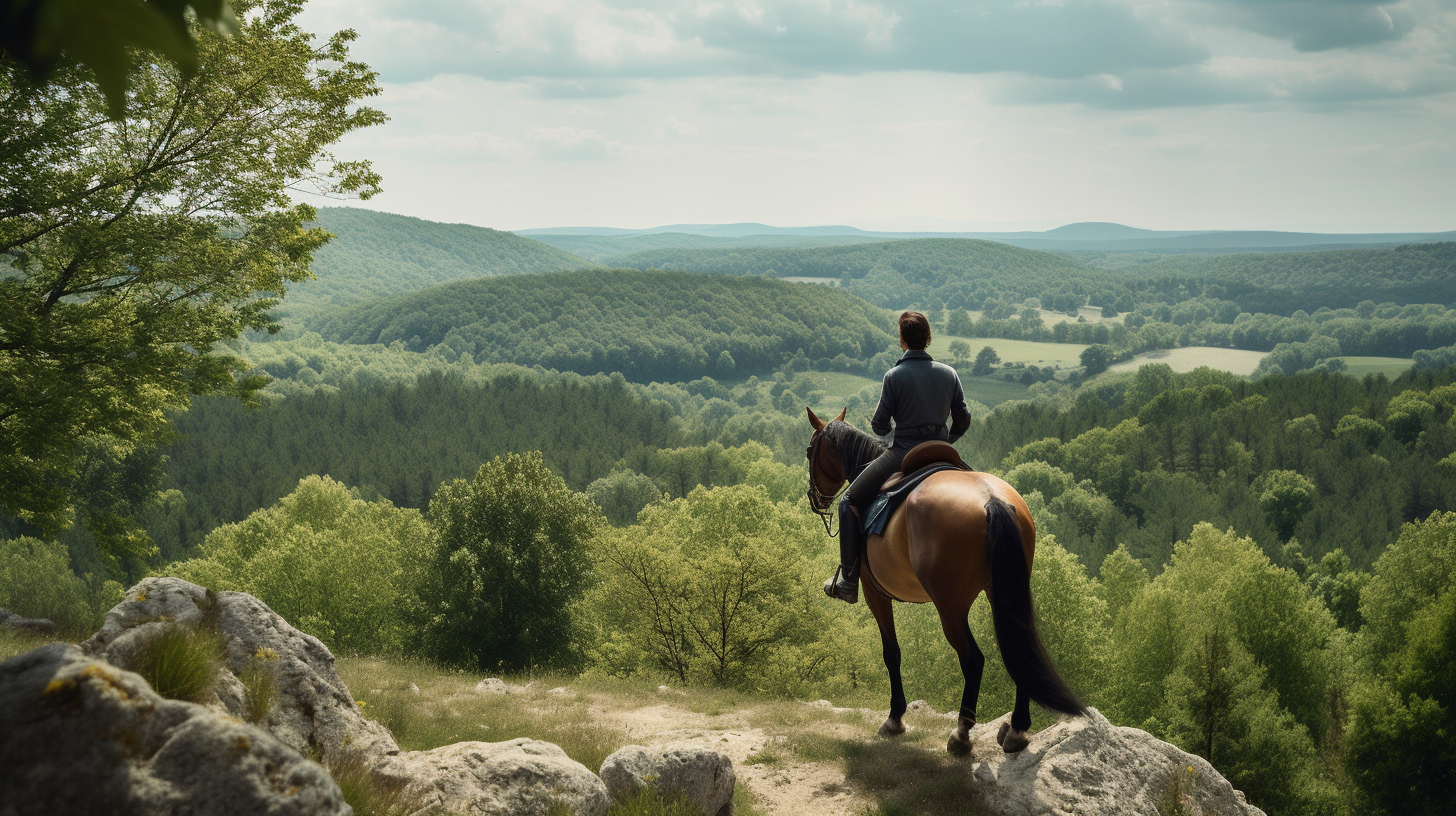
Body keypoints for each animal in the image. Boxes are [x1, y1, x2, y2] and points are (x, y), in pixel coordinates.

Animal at [803, 405, 1089, 751]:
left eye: (809, 451)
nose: (815, 498)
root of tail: (991, 500)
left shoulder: (875, 593)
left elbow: (891, 653)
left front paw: (894, 718)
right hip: (1006, 595)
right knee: (1021, 653)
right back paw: (1017, 730)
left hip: (951, 607)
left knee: (973, 659)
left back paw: (962, 732)